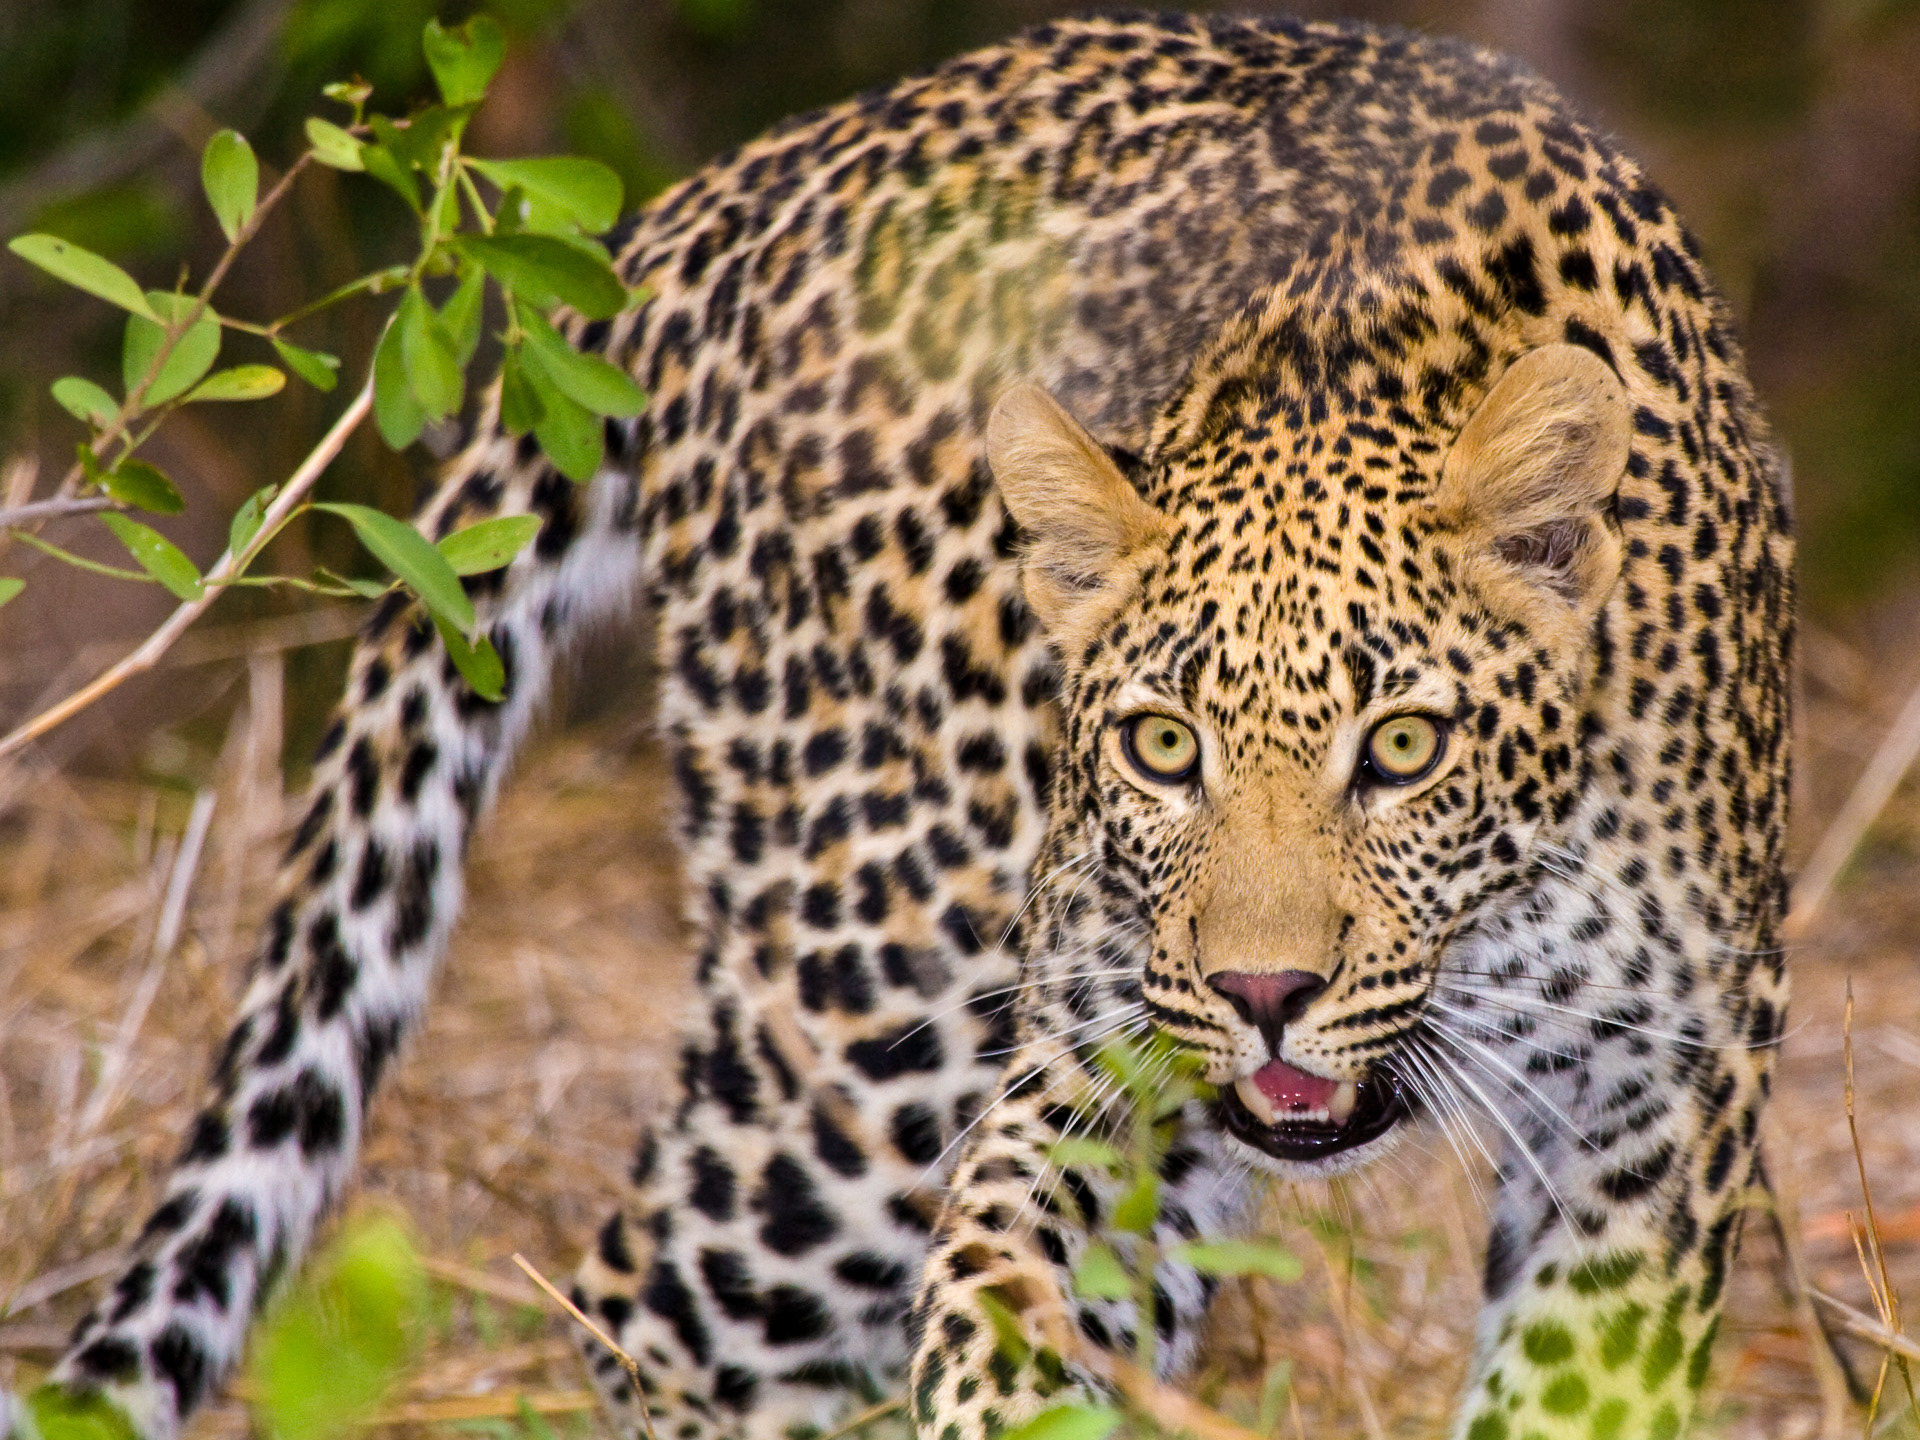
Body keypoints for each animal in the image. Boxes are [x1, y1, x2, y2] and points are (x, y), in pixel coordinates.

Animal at [8, 12, 1793, 1440]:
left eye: (1404, 750)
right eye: (1163, 747)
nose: (1264, 995)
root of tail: (721, 201)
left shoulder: (1656, 1113)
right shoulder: (1086, 1055)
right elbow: (1006, 1274)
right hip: (869, 1027)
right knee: (656, 1303)